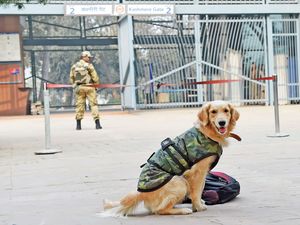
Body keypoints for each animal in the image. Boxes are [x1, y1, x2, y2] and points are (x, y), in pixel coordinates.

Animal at [103, 100, 239, 216]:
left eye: (226, 110)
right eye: (213, 112)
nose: (222, 122)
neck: (207, 132)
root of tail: (141, 193)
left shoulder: (203, 172)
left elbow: (201, 188)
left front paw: (199, 203)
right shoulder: (197, 171)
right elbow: (197, 191)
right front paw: (198, 206)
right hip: (180, 182)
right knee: (160, 210)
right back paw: (183, 210)